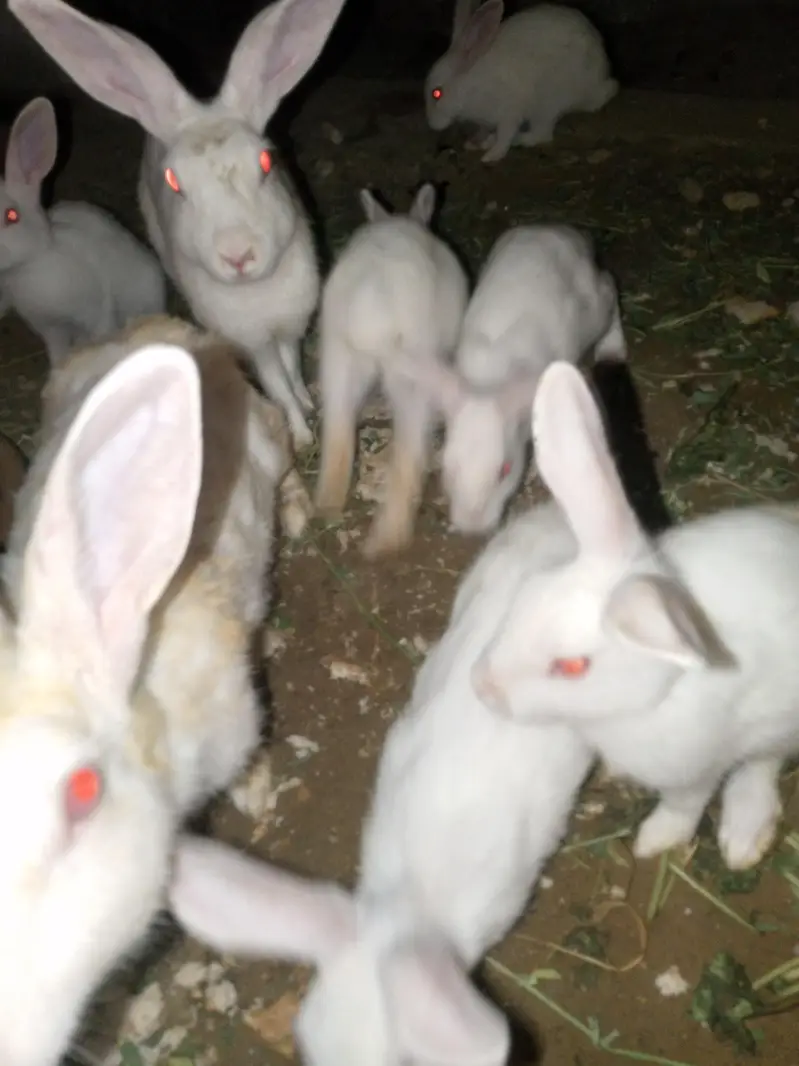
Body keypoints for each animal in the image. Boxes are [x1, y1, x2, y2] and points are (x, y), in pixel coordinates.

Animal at [0, 95, 165, 366]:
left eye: (11, 216)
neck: (33, 261)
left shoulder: (98, 310)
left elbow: (102, 330)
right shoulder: (51, 329)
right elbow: (57, 353)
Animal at [314, 183, 469, 557]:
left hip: (338, 361)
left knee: (338, 435)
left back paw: (326, 507)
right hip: (412, 375)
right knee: (409, 454)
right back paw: (386, 542)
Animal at [401, 224, 626, 536]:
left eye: (505, 470)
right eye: (449, 465)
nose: (472, 527)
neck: (491, 380)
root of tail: (564, 233)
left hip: (595, 308)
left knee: (611, 287)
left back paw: (613, 349)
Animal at [424, 1, 618, 163]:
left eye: (437, 93)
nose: (432, 125)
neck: (469, 85)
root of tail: (602, 79)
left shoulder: (509, 112)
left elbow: (505, 135)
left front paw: (491, 155)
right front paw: (476, 143)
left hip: (547, 104)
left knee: (542, 134)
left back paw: (518, 139)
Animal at [470, 359, 799, 872]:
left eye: (572, 666)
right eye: (525, 597)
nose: (481, 686)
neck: (654, 696)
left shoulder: (695, 767)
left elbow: (685, 803)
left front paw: (655, 840)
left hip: (778, 720)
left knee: (763, 764)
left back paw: (743, 837)